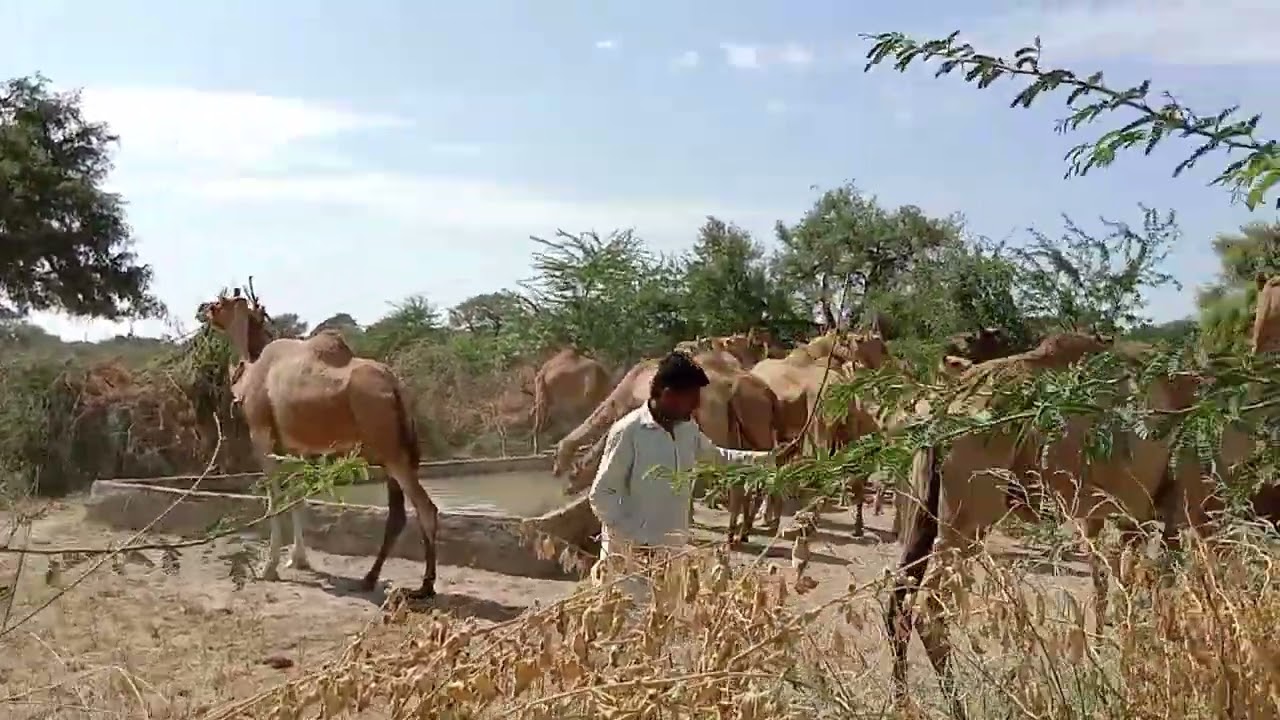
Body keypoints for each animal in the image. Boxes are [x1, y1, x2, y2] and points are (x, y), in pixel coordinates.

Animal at [201, 286, 439, 598]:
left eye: (220, 302)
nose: (204, 310)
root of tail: (396, 389)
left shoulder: (262, 435)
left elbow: (275, 499)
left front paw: (269, 568)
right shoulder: (295, 448)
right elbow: (297, 498)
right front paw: (297, 560)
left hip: (390, 450)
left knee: (425, 508)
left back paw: (424, 587)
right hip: (394, 449)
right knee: (398, 513)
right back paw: (370, 578)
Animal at [884, 331, 1227, 714]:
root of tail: (945, 410)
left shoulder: (1122, 514)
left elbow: (1114, 587)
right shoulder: (1179, 507)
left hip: (925, 508)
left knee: (899, 599)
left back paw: (902, 703)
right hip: (970, 511)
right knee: (929, 610)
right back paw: (958, 706)